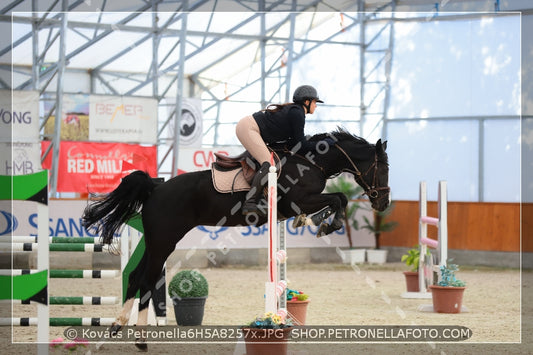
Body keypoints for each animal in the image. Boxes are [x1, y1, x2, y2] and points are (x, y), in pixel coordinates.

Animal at [80, 129, 386, 350]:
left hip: (156, 242)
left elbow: (338, 199)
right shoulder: (300, 199)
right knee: (145, 279)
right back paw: (140, 340)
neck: (312, 162)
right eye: (382, 168)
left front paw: (316, 222)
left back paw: (117, 325)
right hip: (164, 241)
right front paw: (328, 224)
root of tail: (156, 187)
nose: (383, 202)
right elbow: (339, 197)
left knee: (135, 277)